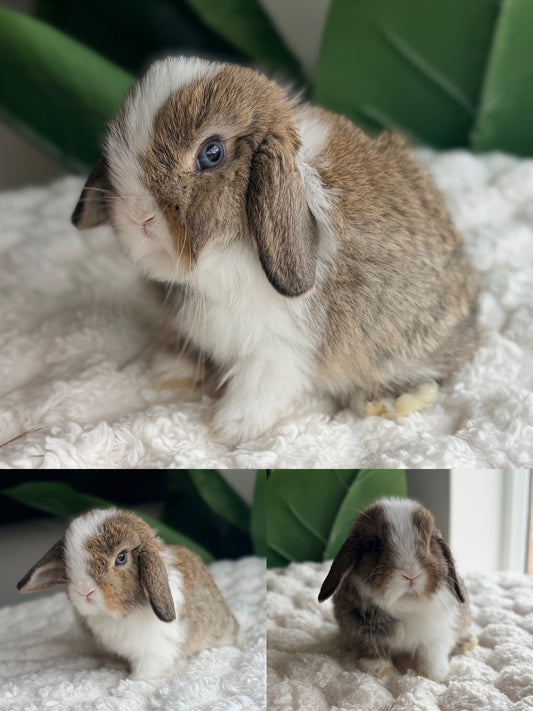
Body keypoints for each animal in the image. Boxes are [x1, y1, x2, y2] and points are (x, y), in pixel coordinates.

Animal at [17, 508, 238, 679]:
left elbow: (146, 671)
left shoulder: (153, 652)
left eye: (121, 558)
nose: (84, 590)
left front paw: (131, 680)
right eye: (68, 562)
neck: (117, 615)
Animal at [71, 56, 479, 445]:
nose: (137, 215)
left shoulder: (278, 345)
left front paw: (231, 428)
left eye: (211, 152)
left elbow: (259, 385)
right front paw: (169, 370)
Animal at [318, 497, 471, 682]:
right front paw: (379, 669)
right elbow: (372, 650)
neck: (406, 604)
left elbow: (432, 655)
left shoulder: (438, 633)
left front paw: (433, 675)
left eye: (429, 542)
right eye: (376, 546)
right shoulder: (361, 631)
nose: (411, 574)